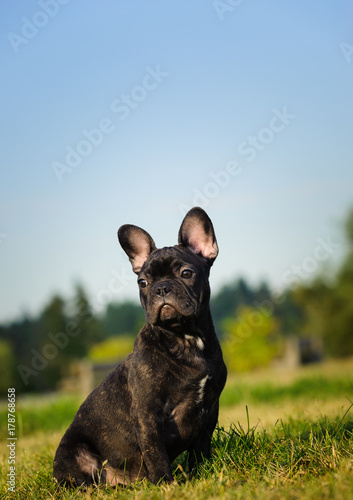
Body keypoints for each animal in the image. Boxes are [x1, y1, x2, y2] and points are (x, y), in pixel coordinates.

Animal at [53, 207, 227, 488]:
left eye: (186, 273)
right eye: (142, 283)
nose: (161, 288)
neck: (185, 339)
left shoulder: (210, 410)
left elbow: (201, 447)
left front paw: (201, 474)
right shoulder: (148, 414)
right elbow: (155, 453)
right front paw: (166, 485)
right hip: (75, 455)